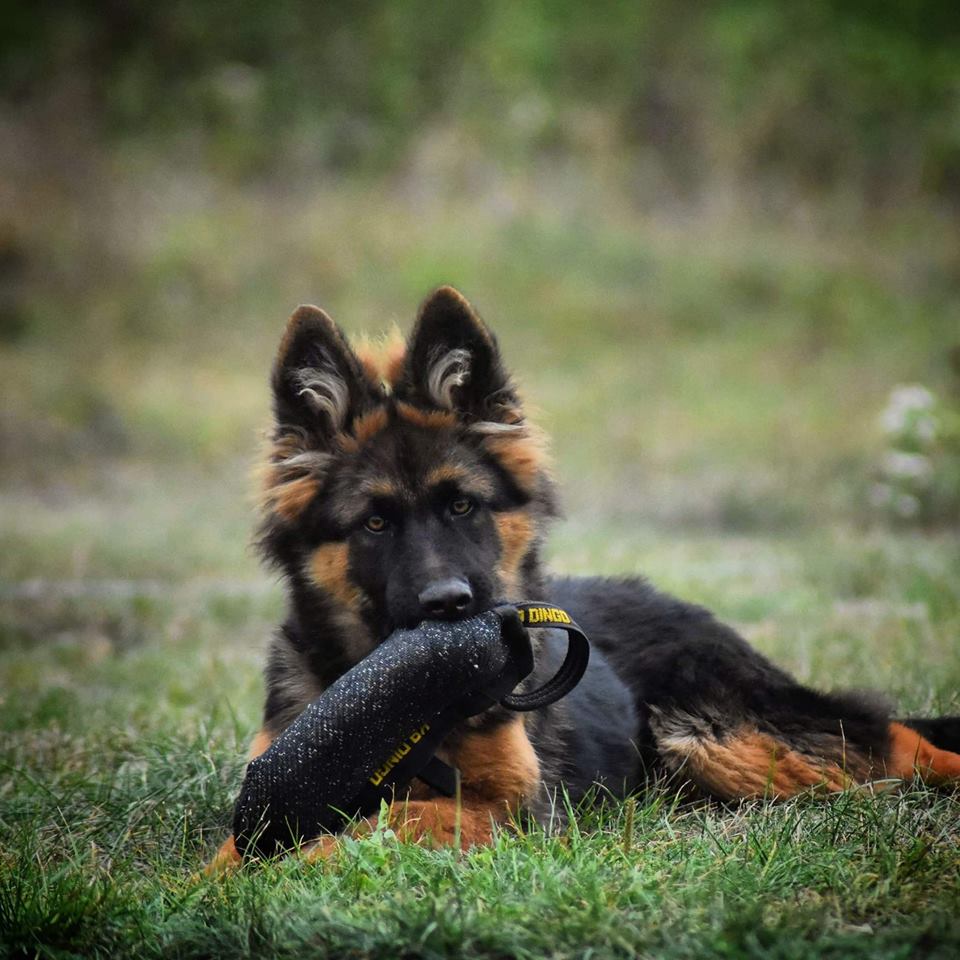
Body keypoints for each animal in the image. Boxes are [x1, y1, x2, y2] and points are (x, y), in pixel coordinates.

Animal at [212, 286, 960, 872]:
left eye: (462, 506)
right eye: (374, 523)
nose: (450, 606)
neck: (403, 700)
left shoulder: (514, 807)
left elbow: (391, 820)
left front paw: (297, 864)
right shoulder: (274, 780)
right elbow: (238, 844)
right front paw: (211, 885)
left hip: (717, 733)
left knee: (889, 739)